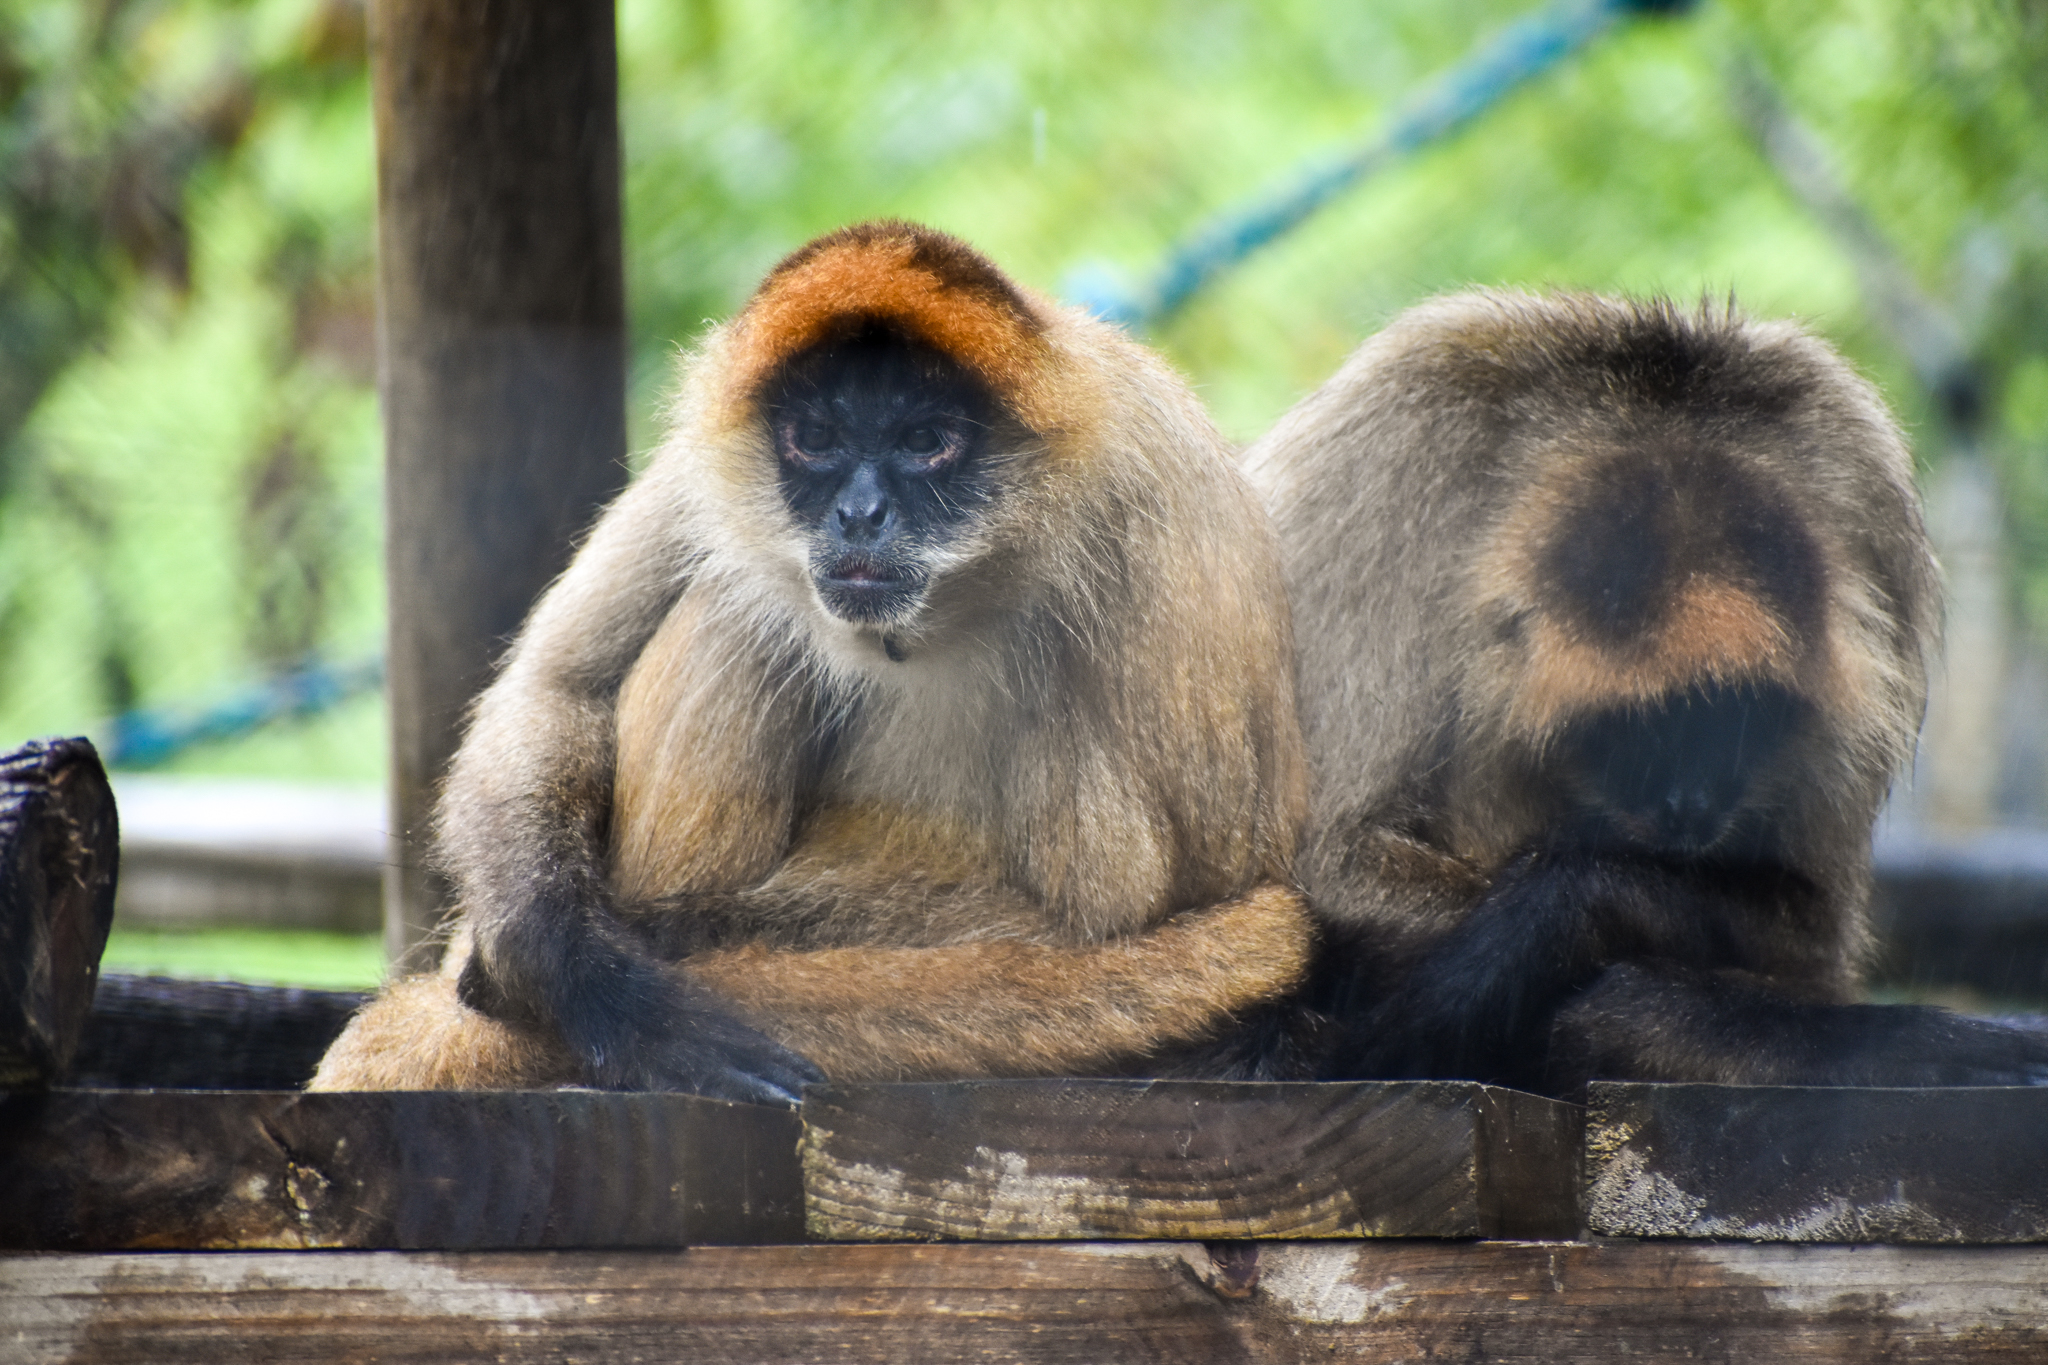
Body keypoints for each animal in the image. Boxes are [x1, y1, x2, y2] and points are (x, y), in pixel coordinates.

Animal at [310, 221, 1312, 1102]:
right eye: (818, 440)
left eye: (925, 442)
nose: (860, 514)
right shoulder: (712, 452)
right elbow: (555, 688)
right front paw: (598, 986)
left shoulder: (1158, 477)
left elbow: (1150, 920)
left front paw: (664, 942)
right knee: (736, 609)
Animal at [1241, 288, 2048, 1099]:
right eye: (1635, 731)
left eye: (1740, 723)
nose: (1688, 805)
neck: (1651, 418)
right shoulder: (1384, 451)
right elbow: (1323, 873)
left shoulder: (1863, 488)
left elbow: (1812, 930)